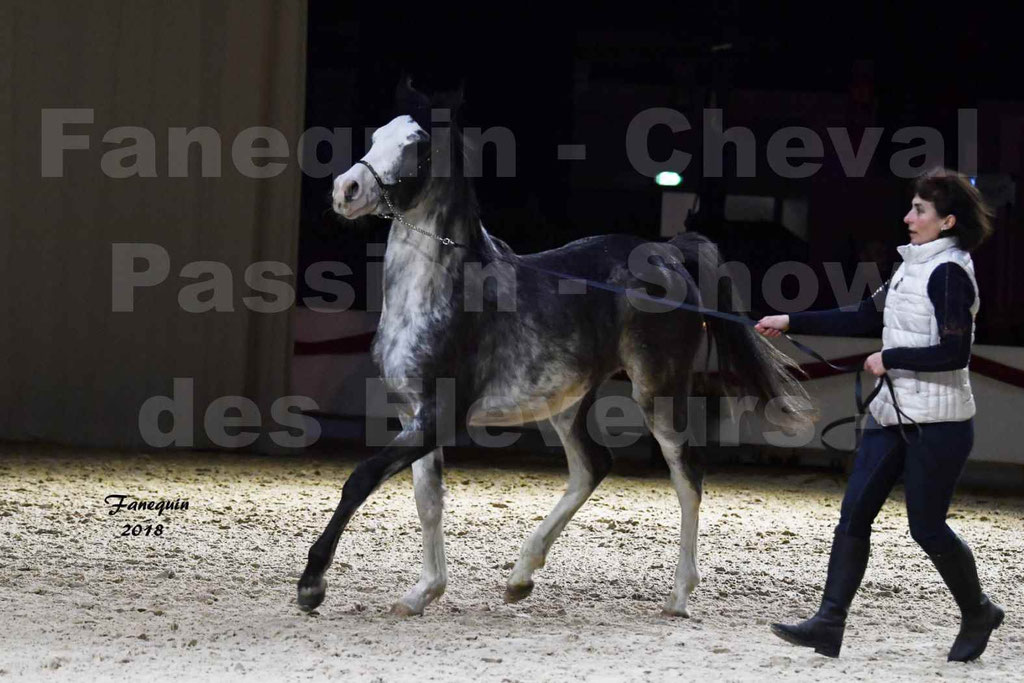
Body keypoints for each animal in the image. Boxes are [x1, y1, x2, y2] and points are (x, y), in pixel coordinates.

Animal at [297, 81, 814, 618]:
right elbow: (429, 501)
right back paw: (520, 577)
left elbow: (362, 478)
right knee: (592, 467)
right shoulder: (412, 414)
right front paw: (422, 593)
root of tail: (669, 253)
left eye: (418, 146)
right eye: (377, 134)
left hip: (659, 392)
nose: (346, 190)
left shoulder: (441, 414)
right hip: (567, 404)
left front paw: (312, 585)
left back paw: (678, 596)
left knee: (686, 474)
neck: (440, 292)